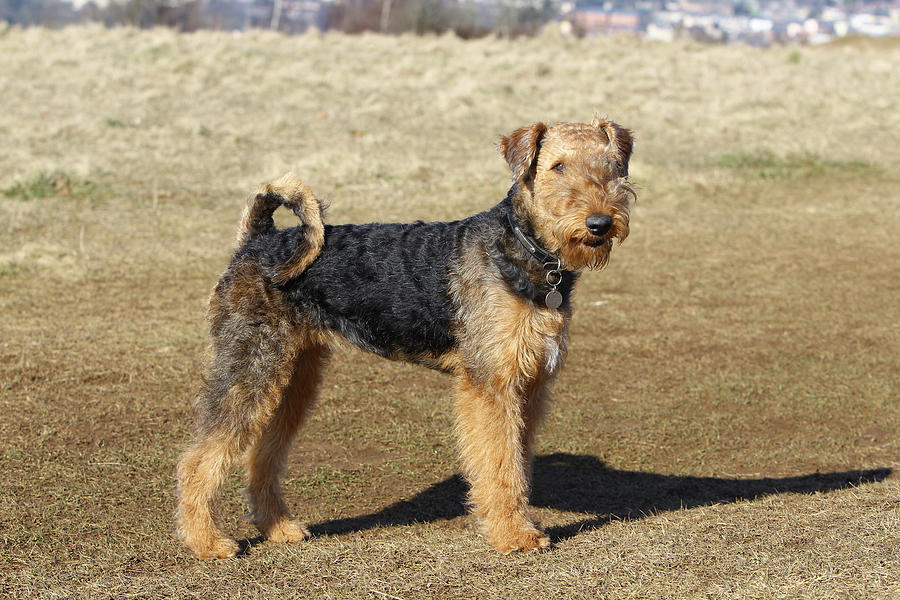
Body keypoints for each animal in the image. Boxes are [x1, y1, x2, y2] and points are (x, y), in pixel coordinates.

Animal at [178, 113, 632, 556]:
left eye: (612, 165)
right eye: (557, 167)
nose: (599, 224)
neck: (527, 253)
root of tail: (258, 239)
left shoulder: (531, 382)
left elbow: (517, 462)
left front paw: (518, 526)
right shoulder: (492, 383)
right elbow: (500, 463)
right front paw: (514, 536)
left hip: (293, 378)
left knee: (261, 454)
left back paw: (279, 528)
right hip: (250, 366)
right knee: (198, 457)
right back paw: (207, 542)